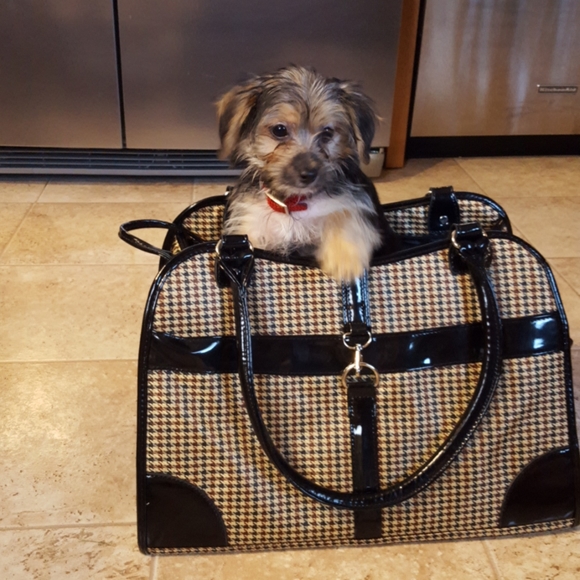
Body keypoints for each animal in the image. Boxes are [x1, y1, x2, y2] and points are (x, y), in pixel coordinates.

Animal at [216, 65, 396, 281]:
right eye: (279, 130)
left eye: (327, 133)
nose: (308, 174)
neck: (294, 204)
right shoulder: (251, 225)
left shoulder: (355, 202)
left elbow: (345, 214)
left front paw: (344, 258)